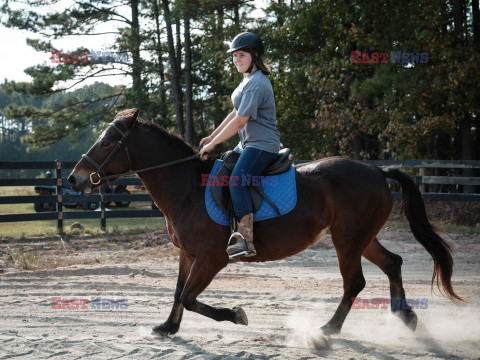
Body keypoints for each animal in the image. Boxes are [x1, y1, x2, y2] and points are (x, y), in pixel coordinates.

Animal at [67, 108, 462, 344]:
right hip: (361, 237)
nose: (74, 178)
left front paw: (235, 315)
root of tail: (378, 172)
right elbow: (178, 294)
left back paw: (327, 330)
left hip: (347, 241)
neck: (187, 187)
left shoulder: (211, 259)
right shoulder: (188, 255)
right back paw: (406, 316)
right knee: (393, 263)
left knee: (355, 282)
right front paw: (167, 327)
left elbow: (190, 297)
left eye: (107, 141)